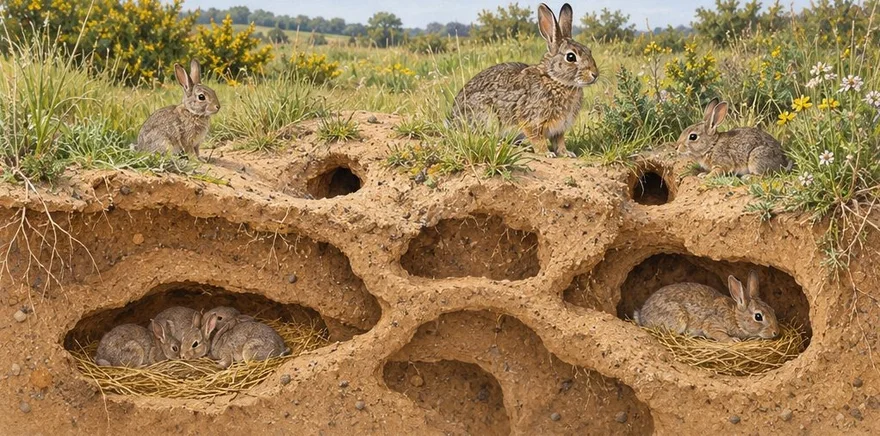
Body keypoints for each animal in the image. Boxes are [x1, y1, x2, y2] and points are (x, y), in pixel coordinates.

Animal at [450, 3, 599, 159]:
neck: (554, 80)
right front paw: (546, 153)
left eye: (589, 51)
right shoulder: (532, 121)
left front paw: (566, 153)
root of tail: (452, 121)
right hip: (486, 115)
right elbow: (537, 139)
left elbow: (559, 142)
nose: (595, 74)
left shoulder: (559, 129)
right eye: (571, 57)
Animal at [634, 270, 780, 342]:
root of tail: (643, 316)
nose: (776, 332)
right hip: (678, 317)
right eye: (758, 316)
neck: (736, 317)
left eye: (773, 310)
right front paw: (733, 340)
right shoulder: (713, 324)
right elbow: (718, 333)